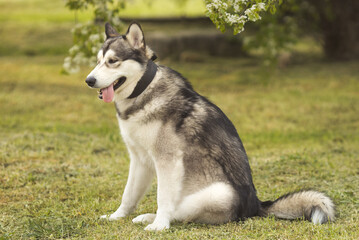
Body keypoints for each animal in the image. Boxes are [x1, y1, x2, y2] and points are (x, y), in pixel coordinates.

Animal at [86, 22, 336, 231]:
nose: (89, 81)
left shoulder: (168, 160)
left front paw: (159, 226)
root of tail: (256, 206)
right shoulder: (139, 159)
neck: (143, 90)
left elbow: (163, 198)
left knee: (179, 210)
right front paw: (117, 217)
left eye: (112, 61)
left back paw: (155, 219)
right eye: (98, 61)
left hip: (218, 193)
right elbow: (128, 195)